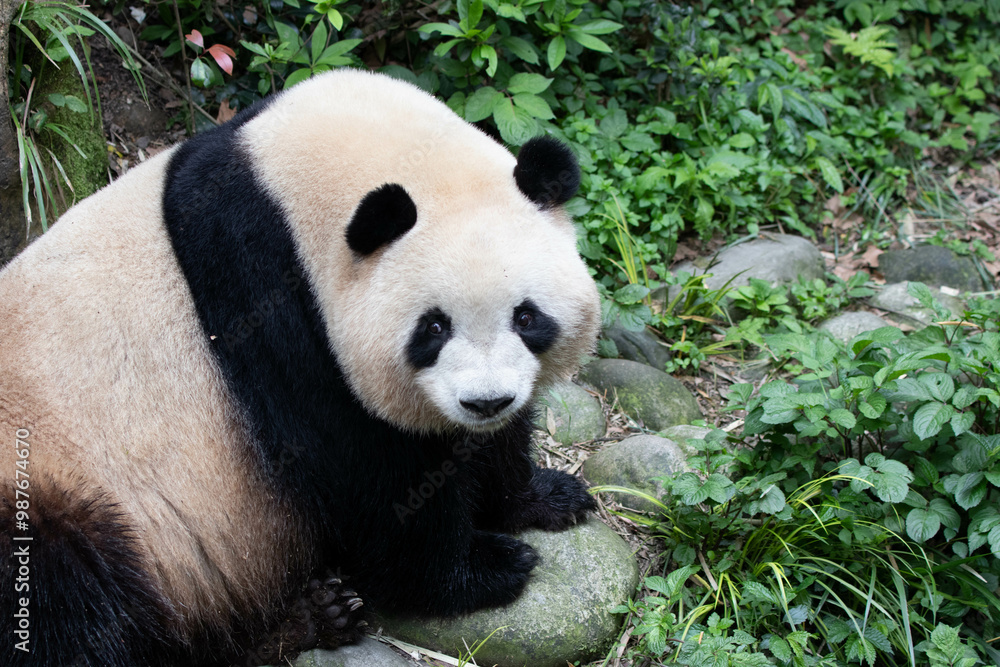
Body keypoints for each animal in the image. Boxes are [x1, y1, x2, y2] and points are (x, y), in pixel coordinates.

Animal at [0, 69, 600, 666]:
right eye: (433, 328)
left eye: (526, 317)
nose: (486, 402)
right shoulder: (265, 296)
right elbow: (362, 464)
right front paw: (481, 569)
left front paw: (544, 497)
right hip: (54, 476)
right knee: (64, 593)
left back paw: (314, 616)